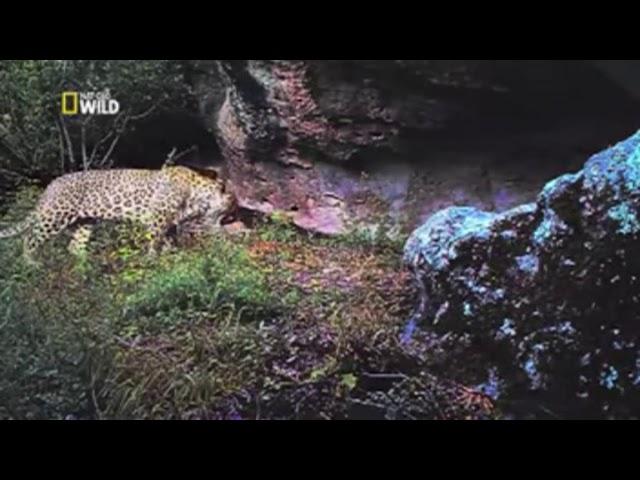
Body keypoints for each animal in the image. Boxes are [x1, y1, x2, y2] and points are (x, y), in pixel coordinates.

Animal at [0, 164, 236, 262]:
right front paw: (152, 259)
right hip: (56, 215)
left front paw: (173, 256)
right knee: (30, 238)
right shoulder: (157, 217)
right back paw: (31, 264)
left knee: (74, 245)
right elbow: (155, 240)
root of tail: (50, 186)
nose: (229, 225)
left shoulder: (169, 222)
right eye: (228, 214)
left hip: (86, 222)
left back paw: (90, 263)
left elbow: (169, 241)